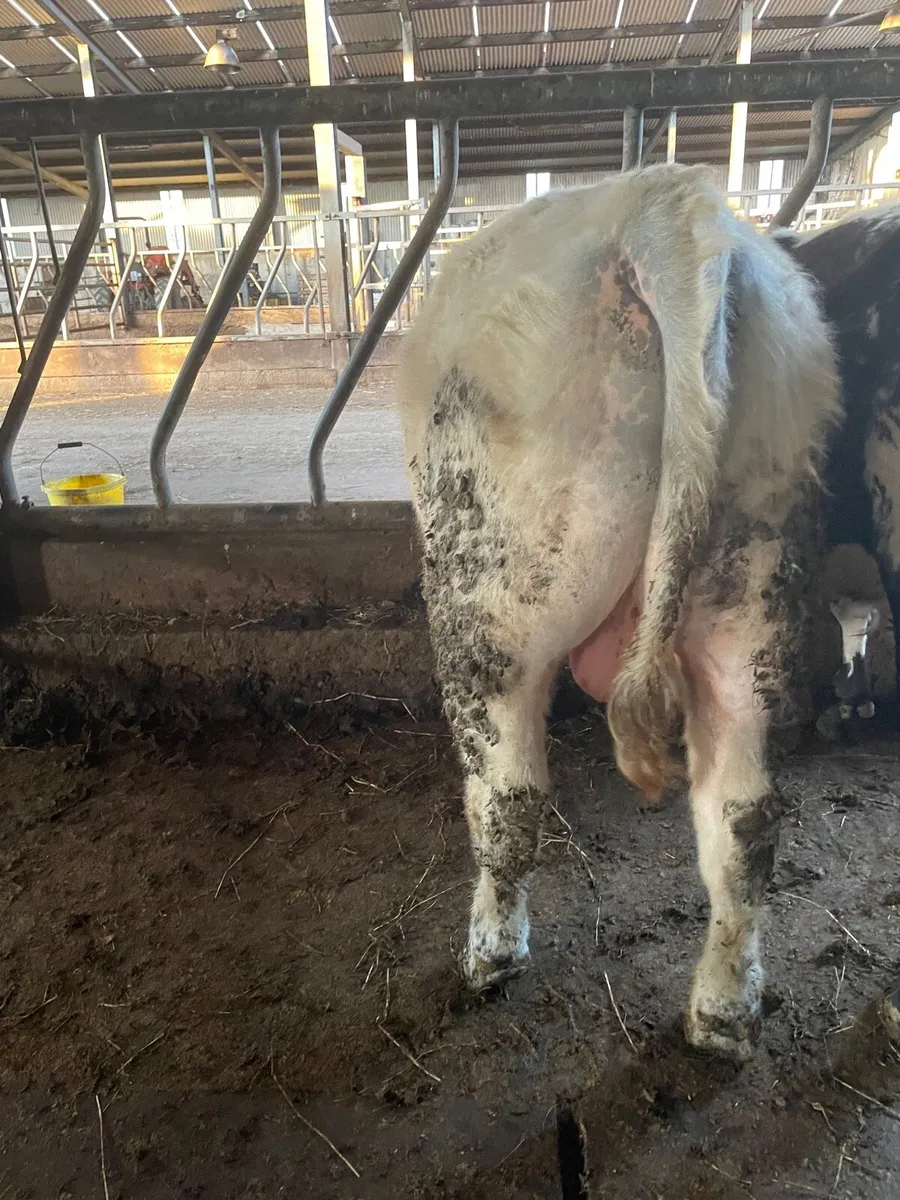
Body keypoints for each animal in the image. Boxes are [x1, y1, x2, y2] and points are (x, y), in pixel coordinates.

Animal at [397, 162, 896, 1063]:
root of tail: (664, 204)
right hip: (751, 580)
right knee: (745, 819)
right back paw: (722, 1015)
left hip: (490, 598)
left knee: (509, 796)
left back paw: (490, 956)